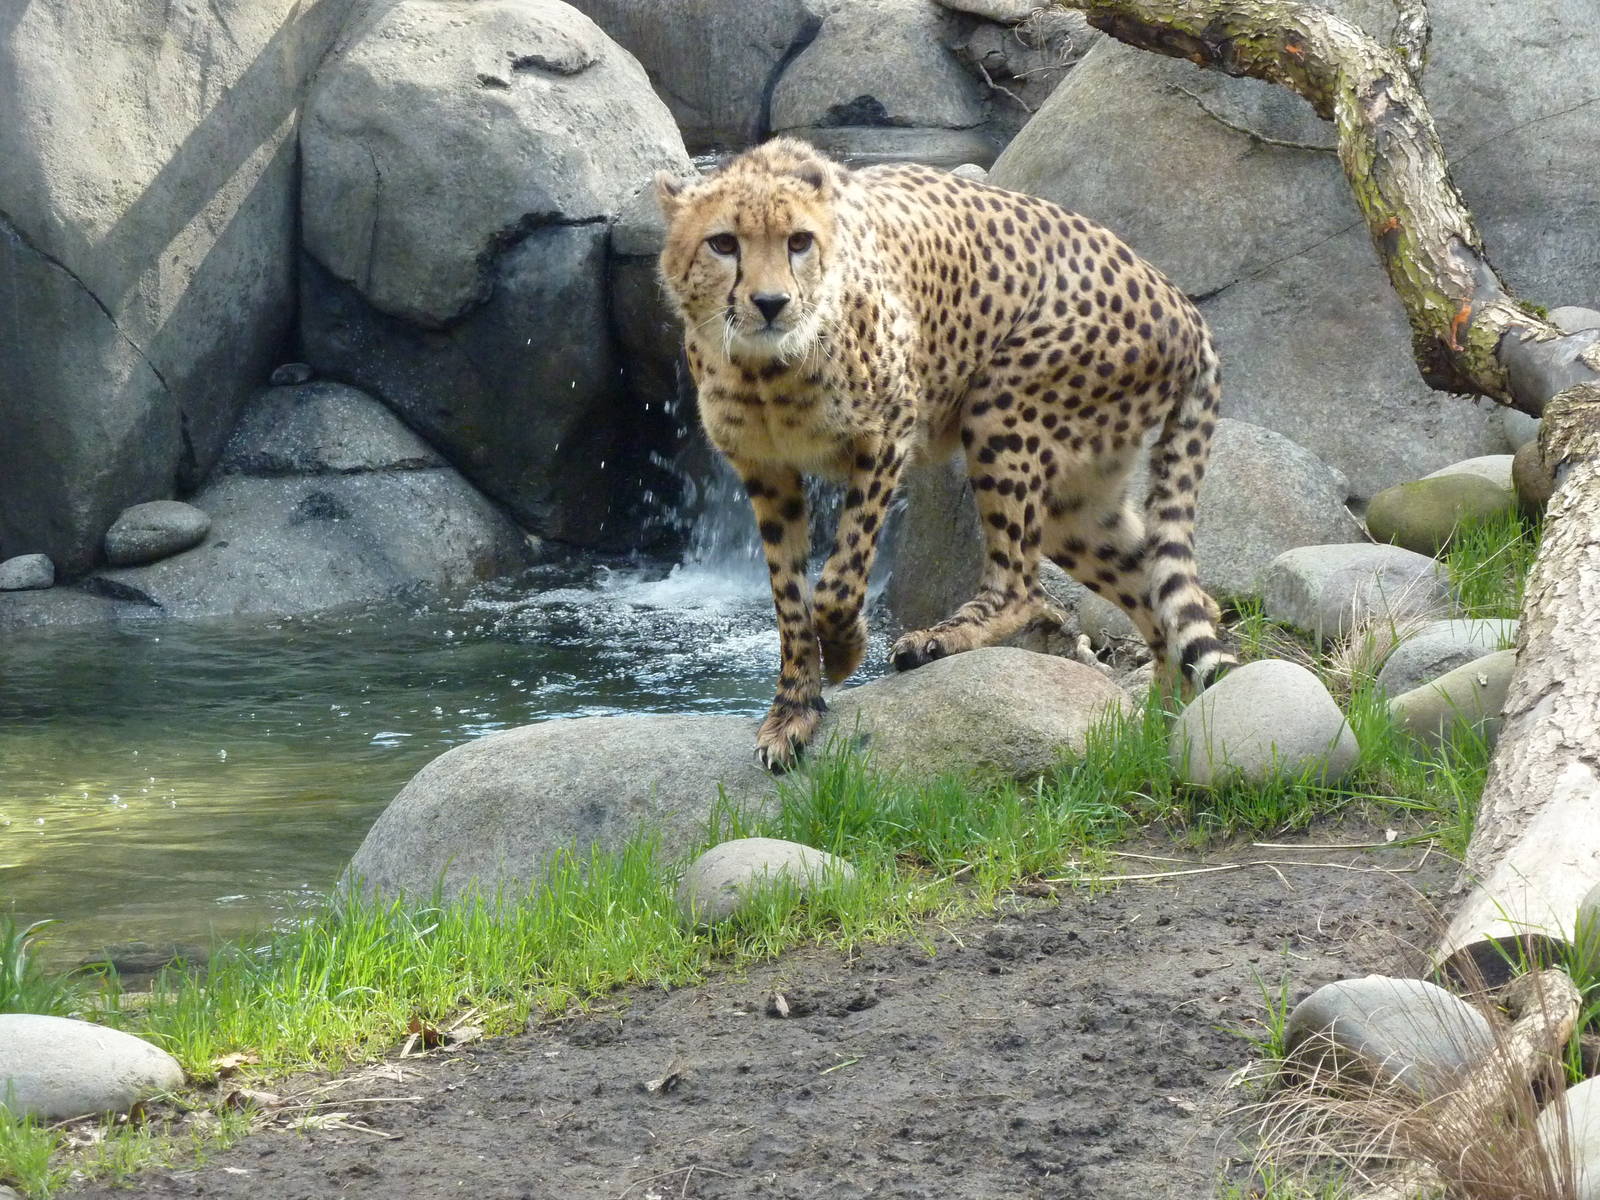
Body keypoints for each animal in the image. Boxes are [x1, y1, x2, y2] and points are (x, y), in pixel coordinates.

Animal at [655, 138, 1235, 771]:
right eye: (723, 243)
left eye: (799, 241)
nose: (770, 302)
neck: (765, 368)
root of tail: (1181, 301)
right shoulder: (766, 471)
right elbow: (789, 597)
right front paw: (793, 708)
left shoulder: (887, 434)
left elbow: (839, 578)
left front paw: (845, 651)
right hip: (1076, 503)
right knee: (1169, 594)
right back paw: (1157, 729)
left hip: (1003, 407)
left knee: (1022, 582)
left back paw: (942, 639)